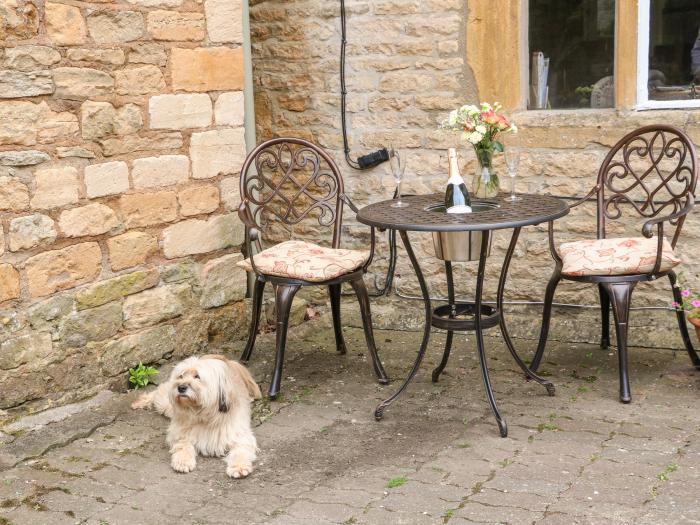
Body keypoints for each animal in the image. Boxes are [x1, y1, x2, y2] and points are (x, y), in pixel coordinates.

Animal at [132, 354, 262, 476]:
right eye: (181, 376)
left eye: (197, 376)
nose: (181, 387)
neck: (203, 416)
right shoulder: (180, 432)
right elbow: (183, 444)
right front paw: (183, 461)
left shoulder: (240, 435)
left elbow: (241, 451)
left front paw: (239, 467)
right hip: (166, 402)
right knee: (158, 391)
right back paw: (141, 401)